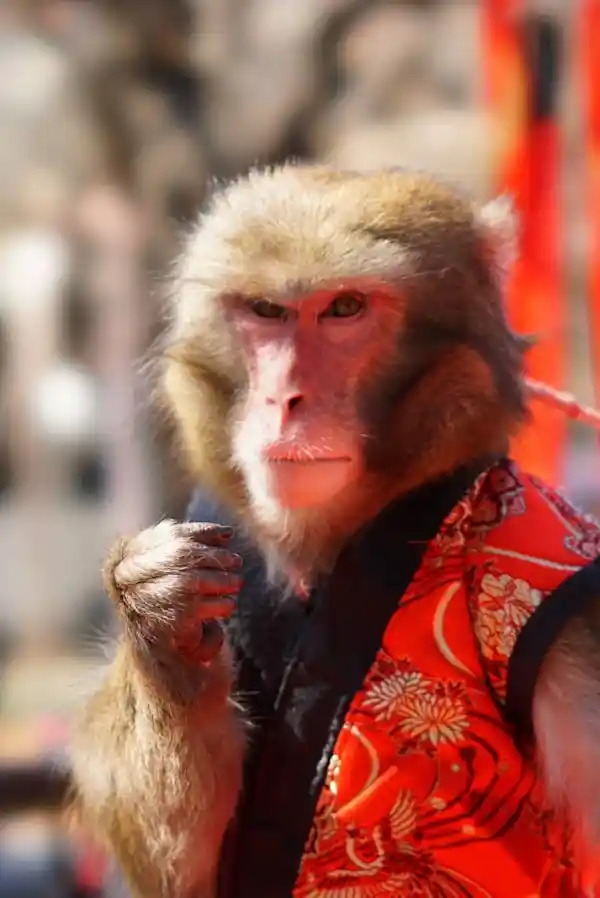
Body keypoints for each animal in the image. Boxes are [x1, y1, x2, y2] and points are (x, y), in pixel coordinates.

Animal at [70, 163, 600, 898]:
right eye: (267, 312)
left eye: (345, 309)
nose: (286, 400)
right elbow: (184, 873)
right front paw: (162, 625)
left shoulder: (550, 585)